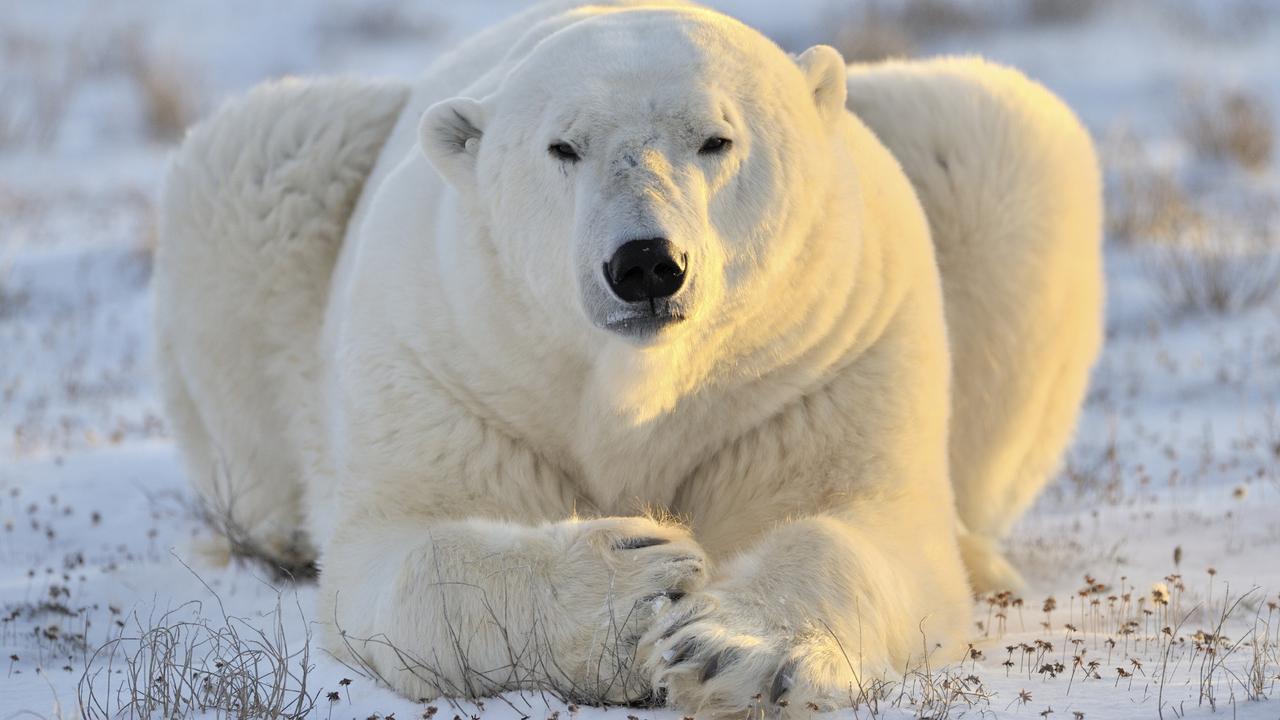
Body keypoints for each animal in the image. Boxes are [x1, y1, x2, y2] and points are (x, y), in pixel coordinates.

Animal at [152, 0, 1100, 712]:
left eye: (716, 139)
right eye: (562, 146)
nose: (645, 263)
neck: (640, 389)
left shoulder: (828, 360)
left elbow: (862, 524)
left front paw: (733, 654)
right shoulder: (447, 361)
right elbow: (404, 548)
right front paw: (637, 584)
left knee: (996, 132)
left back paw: (984, 555)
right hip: (280, 188)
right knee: (258, 155)